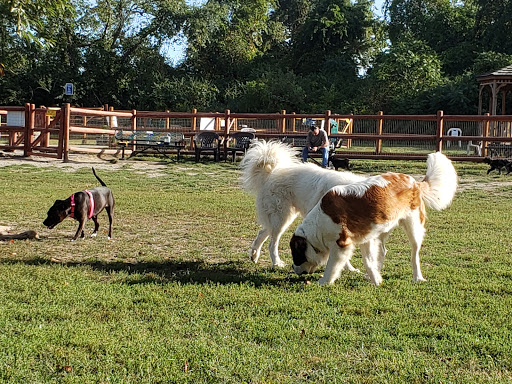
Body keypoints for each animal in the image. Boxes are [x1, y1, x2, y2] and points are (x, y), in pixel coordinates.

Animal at [240, 140, 368, 268]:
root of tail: (271, 173)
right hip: (281, 218)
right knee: (272, 243)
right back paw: (276, 263)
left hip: (282, 218)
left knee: (262, 232)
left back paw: (254, 256)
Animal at [290, 152, 458, 284]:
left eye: (295, 255)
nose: (293, 267)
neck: (319, 223)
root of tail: (413, 181)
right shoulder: (365, 237)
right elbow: (369, 261)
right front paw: (375, 279)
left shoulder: (341, 245)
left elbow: (332, 265)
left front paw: (324, 281)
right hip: (382, 227)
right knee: (383, 251)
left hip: (413, 225)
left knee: (414, 253)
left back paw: (417, 277)